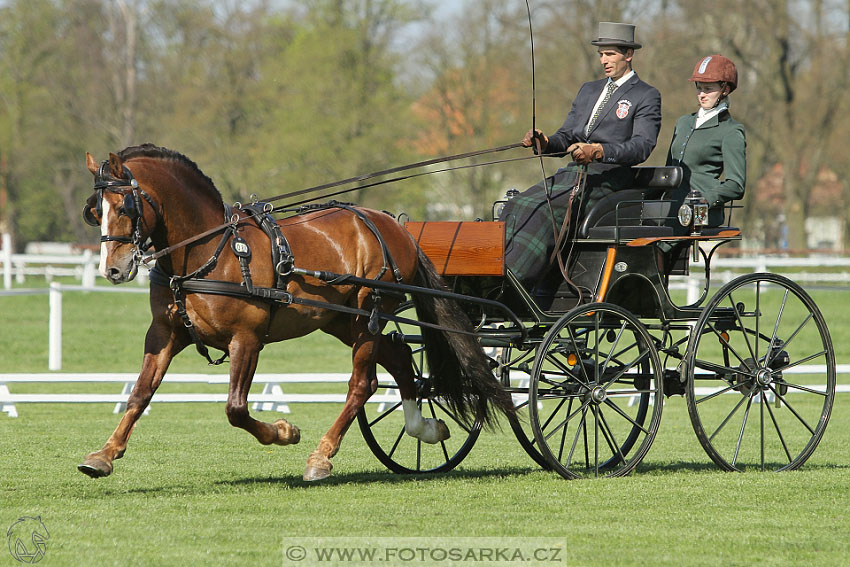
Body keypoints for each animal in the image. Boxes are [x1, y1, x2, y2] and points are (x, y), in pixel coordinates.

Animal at [78, 144, 510, 482]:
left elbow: (236, 409)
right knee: (402, 359)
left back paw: (322, 456)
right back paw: (423, 428)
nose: (112, 270)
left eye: (125, 206)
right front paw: (104, 455)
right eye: (95, 211)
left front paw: (284, 432)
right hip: (341, 321)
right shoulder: (165, 333)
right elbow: (139, 393)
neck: (211, 251)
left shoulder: (247, 339)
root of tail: (392, 225)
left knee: (363, 383)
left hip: (369, 313)